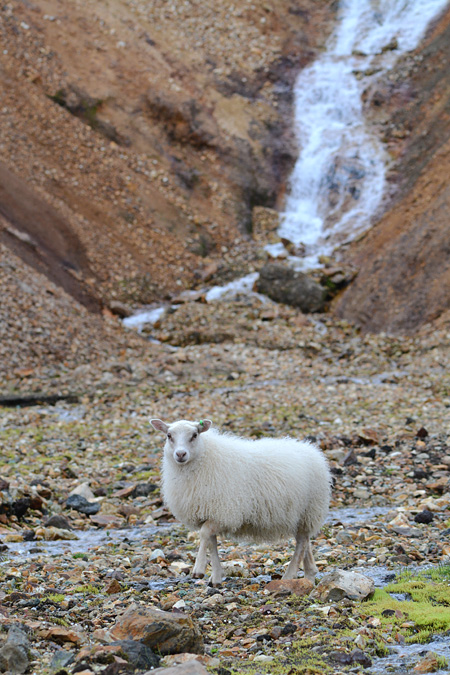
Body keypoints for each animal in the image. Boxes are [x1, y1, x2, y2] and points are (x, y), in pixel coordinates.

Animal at [151, 418, 330, 588]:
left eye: (194, 435)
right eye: (169, 435)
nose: (180, 454)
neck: (204, 458)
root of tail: (312, 450)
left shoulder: (224, 512)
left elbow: (203, 535)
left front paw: (199, 570)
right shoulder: (211, 513)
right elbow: (211, 542)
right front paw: (216, 578)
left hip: (309, 509)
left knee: (301, 543)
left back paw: (289, 575)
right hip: (304, 515)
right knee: (305, 542)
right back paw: (309, 575)